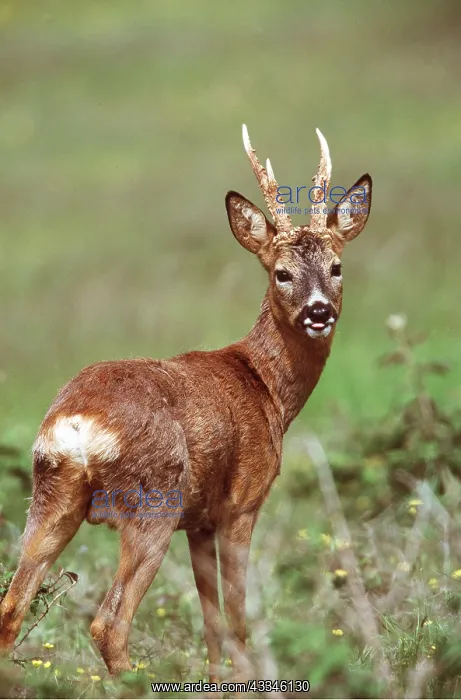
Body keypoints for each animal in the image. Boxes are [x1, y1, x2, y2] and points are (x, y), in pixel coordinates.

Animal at [0, 125, 372, 682]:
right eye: (281, 273)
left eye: (336, 266)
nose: (319, 311)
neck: (265, 386)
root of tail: (75, 424)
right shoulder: (241, 505)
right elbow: (236, 619)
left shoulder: (198, 522)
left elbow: (211, 622)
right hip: (153, 503)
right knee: (108, 624)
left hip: (52, 496)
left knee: (11, 606)